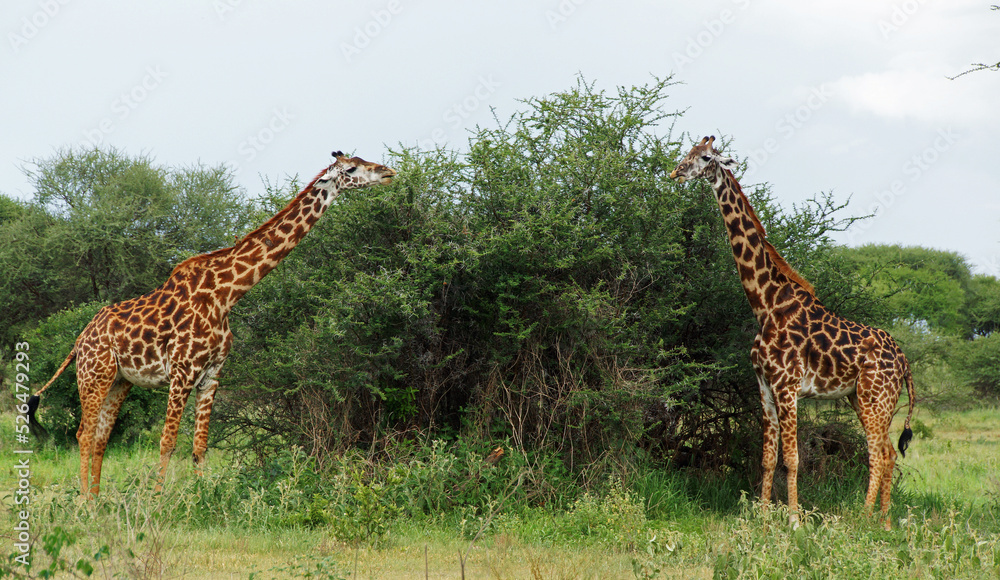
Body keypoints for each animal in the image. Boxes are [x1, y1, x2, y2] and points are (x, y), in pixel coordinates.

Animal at [27, 152, 396, 497]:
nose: (388, 172)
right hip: (94, 375)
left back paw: (96, 500)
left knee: (101, 436)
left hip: (120, 381)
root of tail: (78, 341)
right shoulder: (182, 372)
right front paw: (157, 501)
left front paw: (201, 498)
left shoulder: (212, 375)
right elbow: (167, 441)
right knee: (83, 433)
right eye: (351, 169)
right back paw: (83, 504)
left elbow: (200, 446)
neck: (226, 294)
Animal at [669, 136, 915, 529]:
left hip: (876, 398)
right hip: (862, 398)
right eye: (688, 152)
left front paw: (795, 521)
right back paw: (881, 521)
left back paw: (868, 520)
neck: (765, 304)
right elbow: (768, 457)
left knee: (880, 454)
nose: (676, 172)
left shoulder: (787, 387)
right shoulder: (764, 386)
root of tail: (905, 360)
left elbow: (793, 457)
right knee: (886, 452)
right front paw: (762, 516)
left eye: (705, 157)